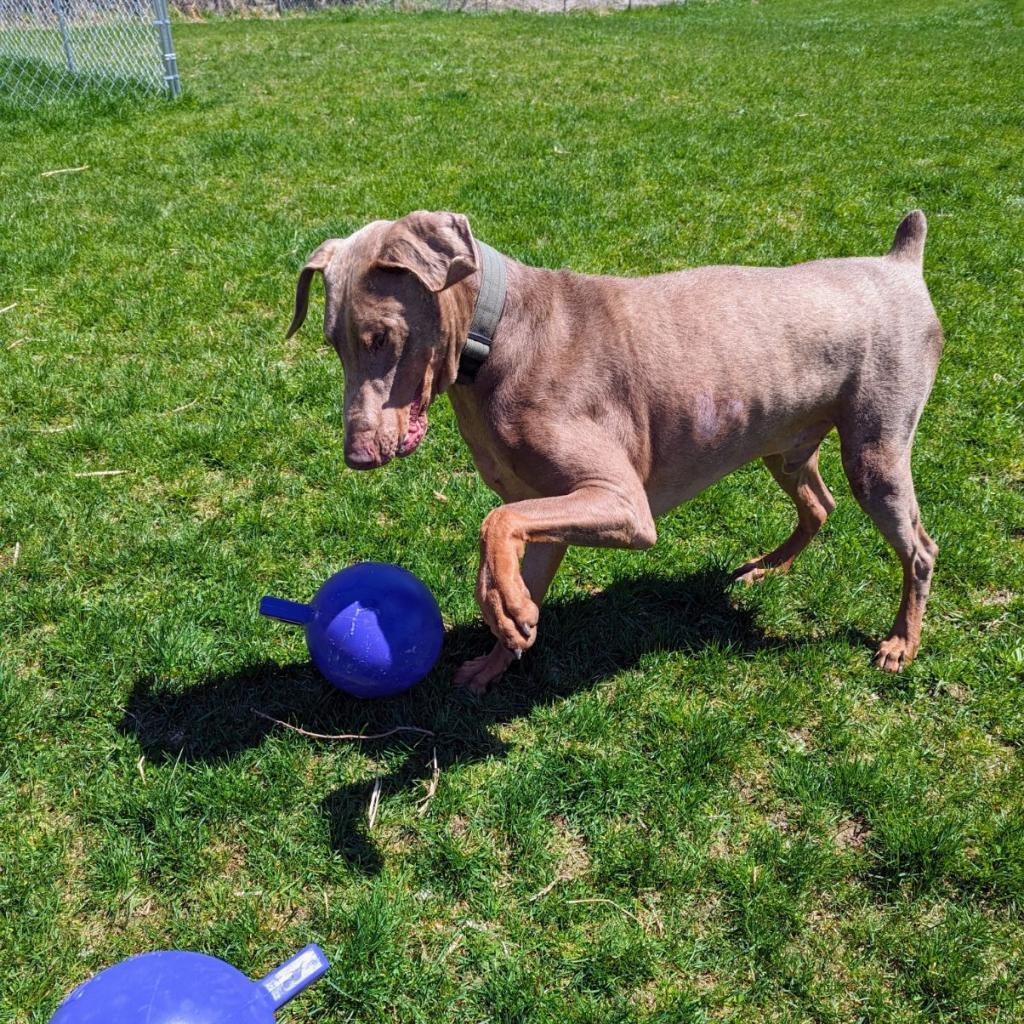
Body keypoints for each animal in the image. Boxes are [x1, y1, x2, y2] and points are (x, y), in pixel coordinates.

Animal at [286, 208, 942, 692]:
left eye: (381, 338)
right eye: (333, 342)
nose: (357, 456)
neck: (497, 334)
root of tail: (900, 263)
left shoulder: (622, 504)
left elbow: (494, 521)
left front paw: (504, 607)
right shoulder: (547, 507)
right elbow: (512, 539)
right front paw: (500, 646)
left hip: (876, 451)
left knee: (921, 548)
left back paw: (900, 643)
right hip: (786, 443)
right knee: (820, 505)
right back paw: (764, 569)